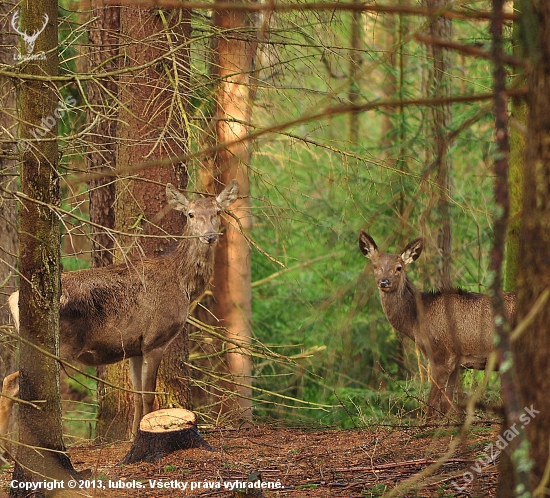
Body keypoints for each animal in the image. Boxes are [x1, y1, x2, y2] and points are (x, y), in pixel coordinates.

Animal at [4, 180, 239, 436]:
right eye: (190, 214)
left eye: (218, 211)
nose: (210, 236)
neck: (183, 283)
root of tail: (13, 299)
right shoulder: (155, 340)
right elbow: (148, 395)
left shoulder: (135, 347)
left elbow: (136, 396)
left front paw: (134, 434)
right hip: (59, 346)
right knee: (12, 383)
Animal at [360, 231, 520, 418]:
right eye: (375, 266)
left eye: (399, 267)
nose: (384, 282)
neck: (415, 322)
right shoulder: (457, 361)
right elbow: (446, 405)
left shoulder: (441, 355)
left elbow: (431, 408)